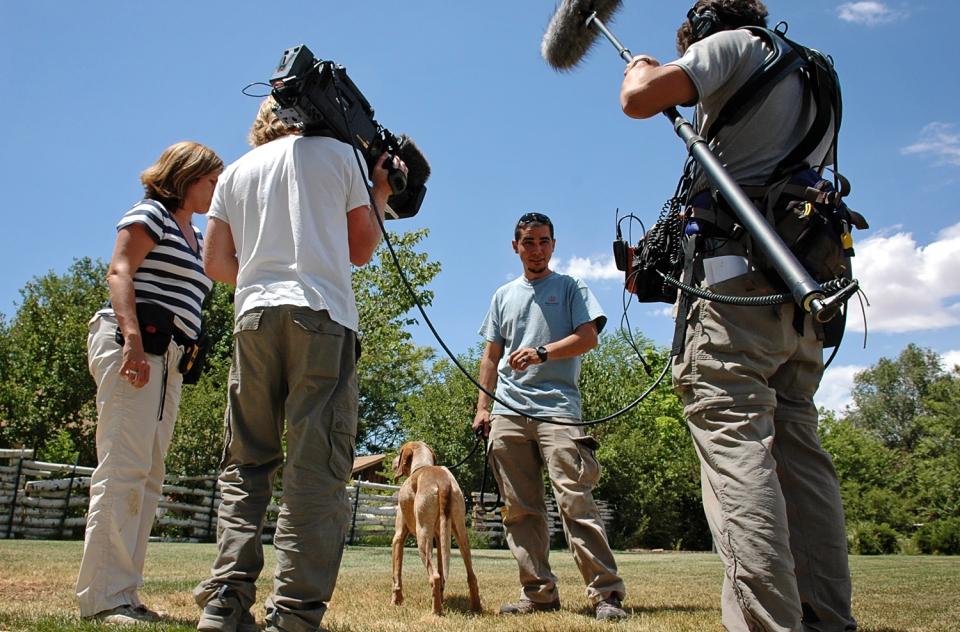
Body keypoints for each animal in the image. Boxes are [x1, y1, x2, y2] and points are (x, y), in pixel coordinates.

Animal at [390, 442, 480, 616]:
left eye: (399, 452)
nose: (392, 462)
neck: (421, 466)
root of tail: (443, 481)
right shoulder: (439, 538)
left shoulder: (398, 537)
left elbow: (396, 575)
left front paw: (395, 603)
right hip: (460, 533)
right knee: (471, 575)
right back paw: (476, 608)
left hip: (422, 537)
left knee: (435, 576)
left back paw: (436, 612)